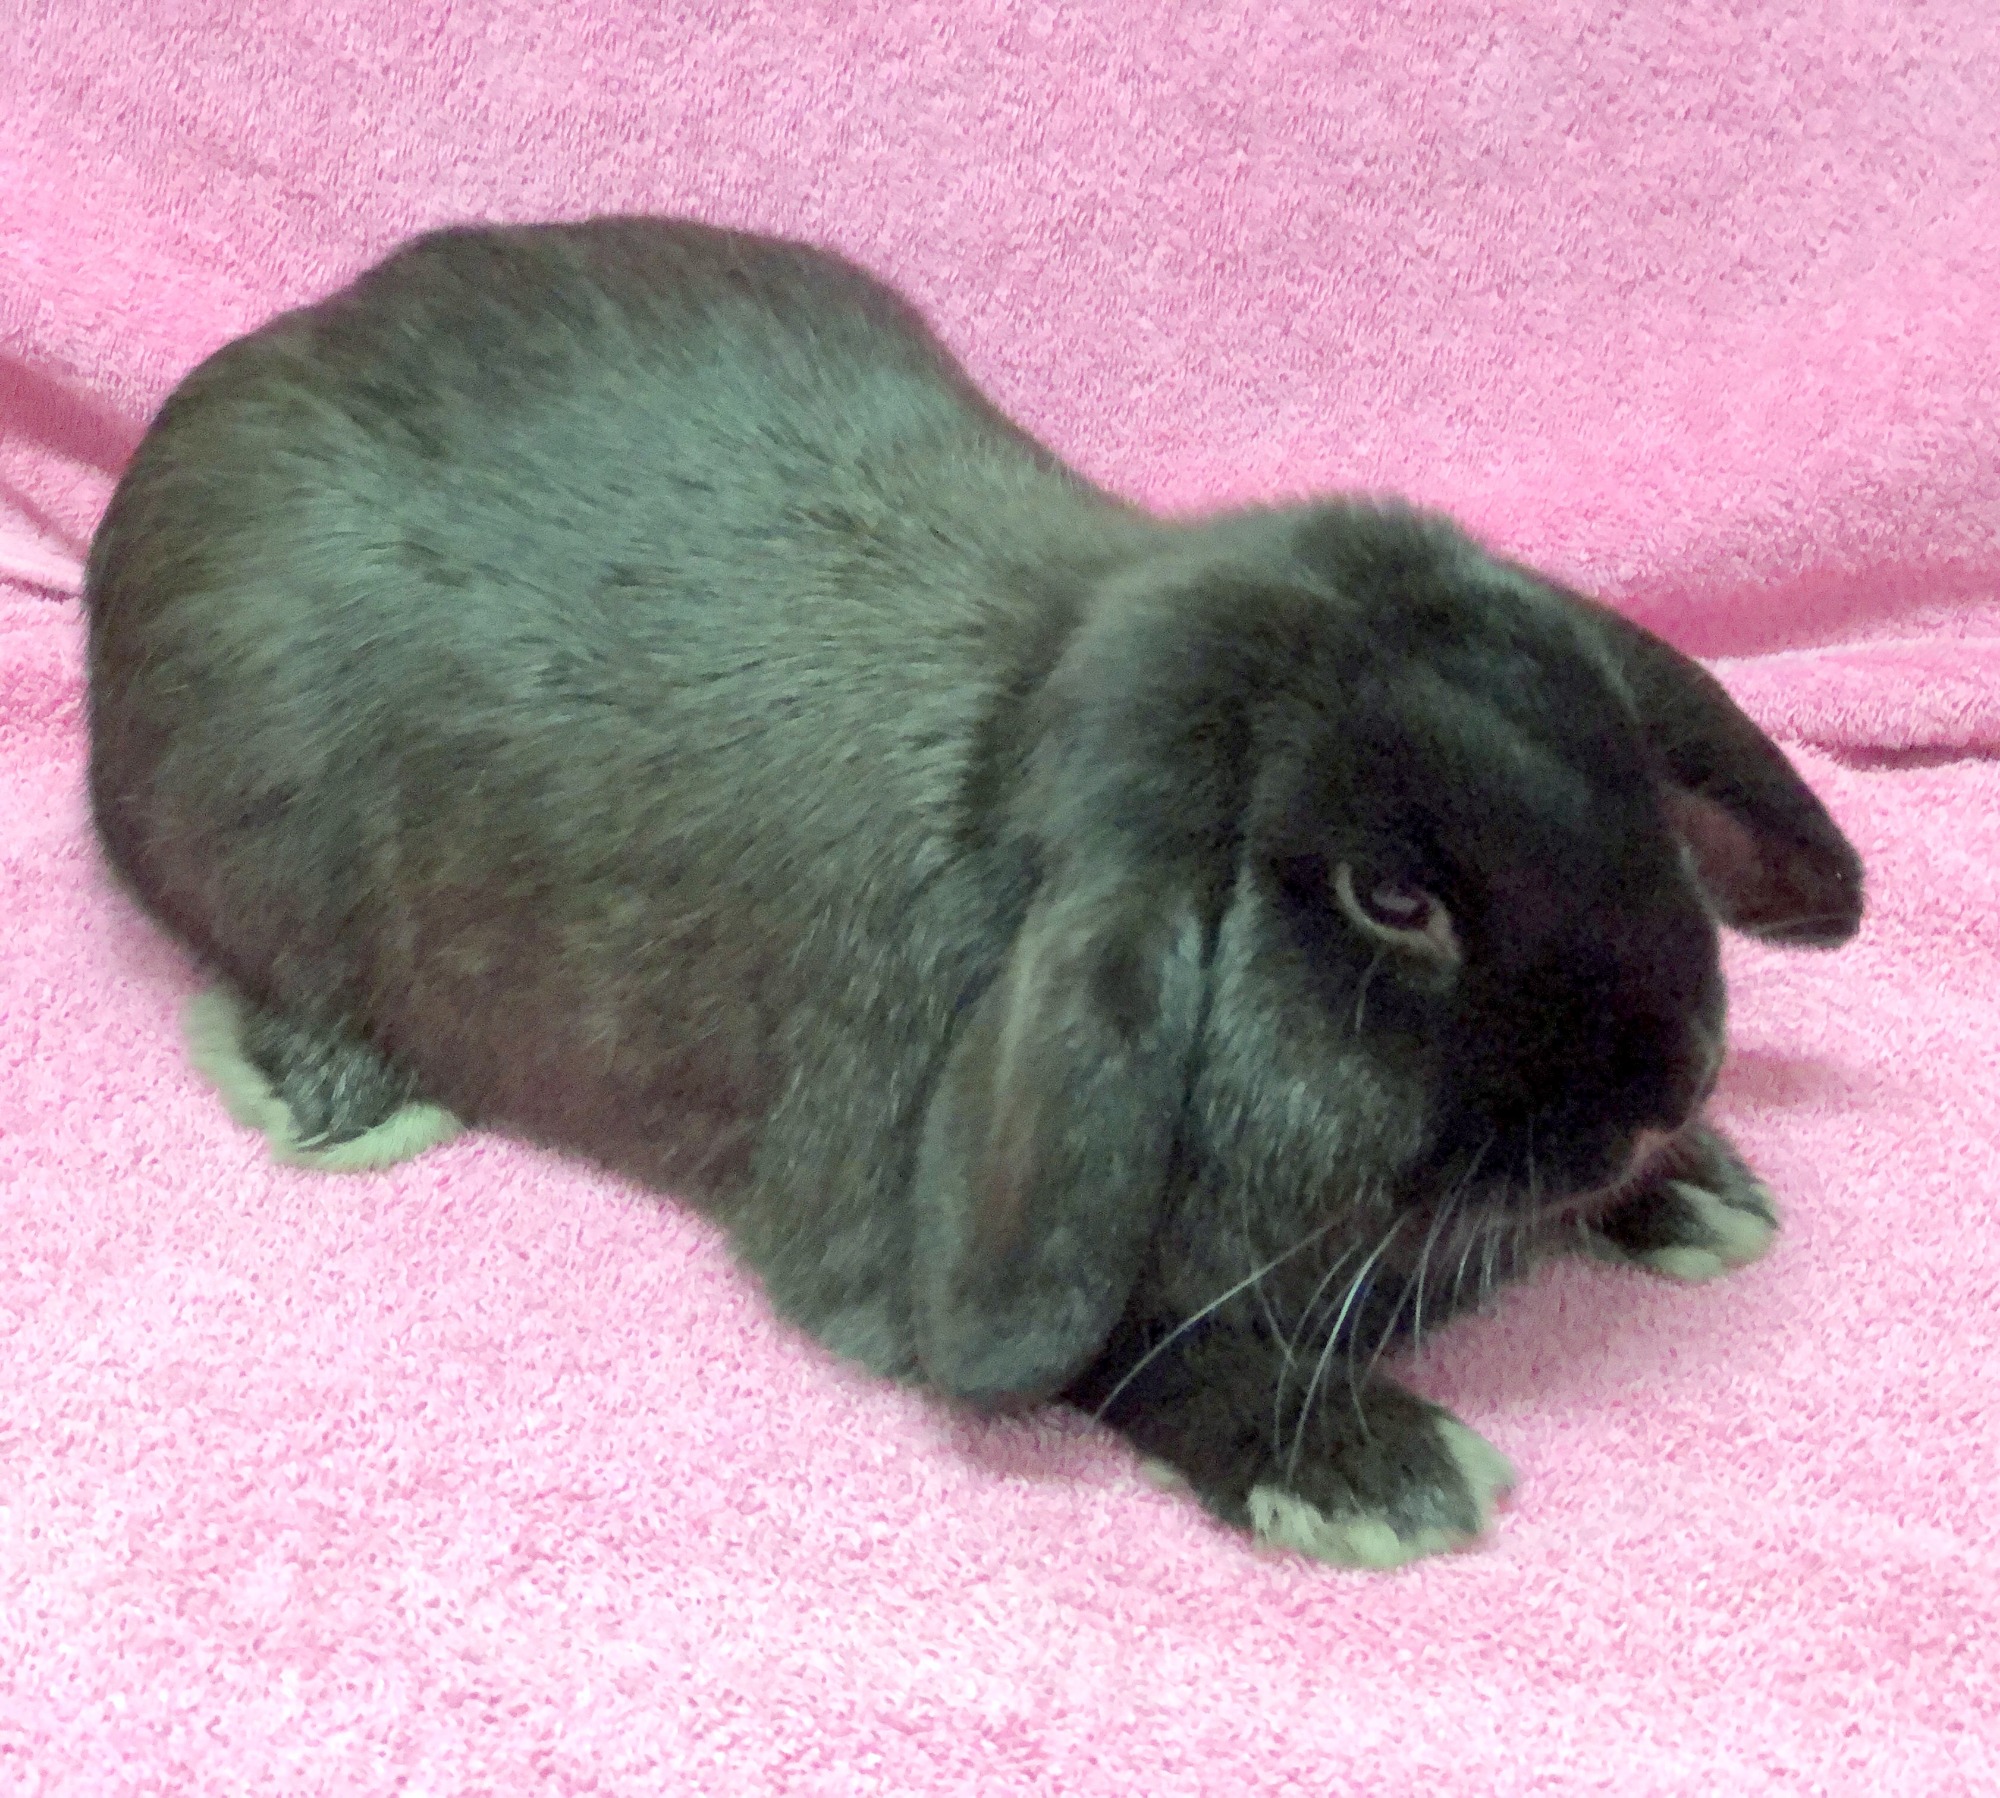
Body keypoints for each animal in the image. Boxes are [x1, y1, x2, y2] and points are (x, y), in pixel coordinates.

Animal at [83, 216, 1864, 1569]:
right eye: (1391, 897)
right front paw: (1375, 1471)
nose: (1675, 1077)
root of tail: (247, 369)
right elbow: (1120, 1348)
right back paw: (338, 1096)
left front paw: (1694, 1190)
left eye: (1619, 767)